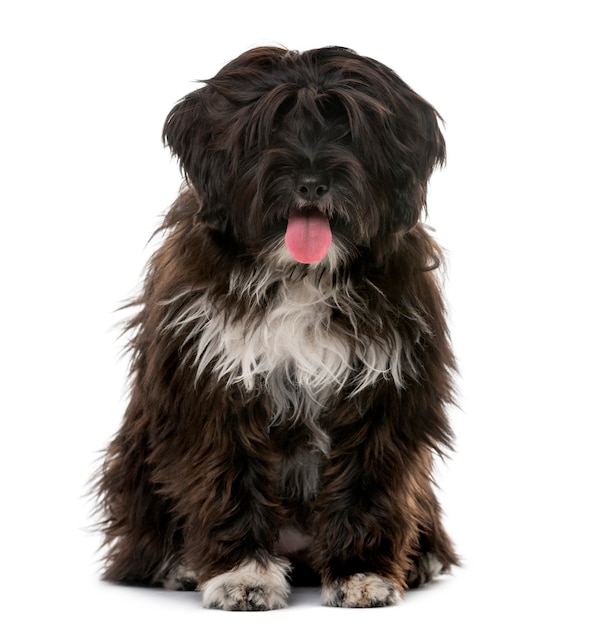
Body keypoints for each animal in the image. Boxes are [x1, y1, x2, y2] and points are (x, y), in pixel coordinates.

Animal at [94, 45, 458, 608]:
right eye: (269, 128)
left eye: (348, 126)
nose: (310, 183)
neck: (300, 275)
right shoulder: (213, 386)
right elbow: (229, 478)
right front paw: (242, 574)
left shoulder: (383, 391)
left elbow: (365, 482)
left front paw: (360, 572)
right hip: (135, 455)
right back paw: (176, 563)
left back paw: (420, 559)